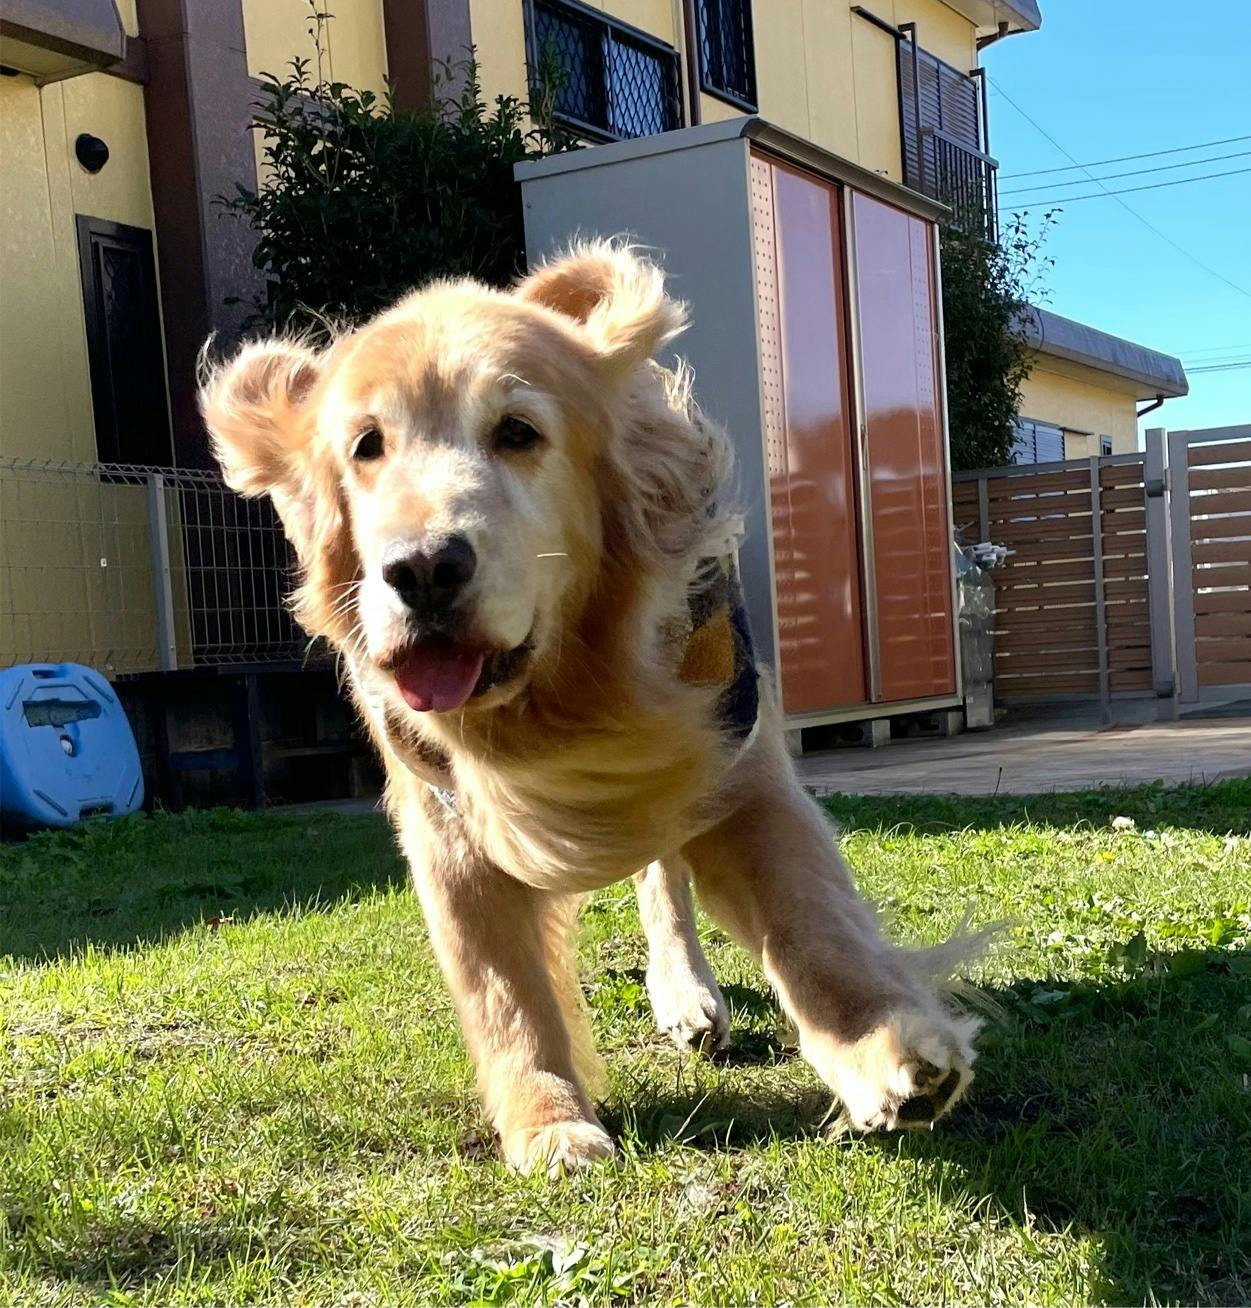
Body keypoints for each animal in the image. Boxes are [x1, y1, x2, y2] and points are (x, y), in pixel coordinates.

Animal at [200, 242, 979, 1175]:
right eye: (366, 446)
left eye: (518, 432)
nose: (422, 569)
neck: (559, 697)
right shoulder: (445, 821)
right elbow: (504, 991)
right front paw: (549, 1123)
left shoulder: (730, 762)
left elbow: (809, 924)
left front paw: (884, 1054)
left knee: (663, 874)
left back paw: (688, 993)